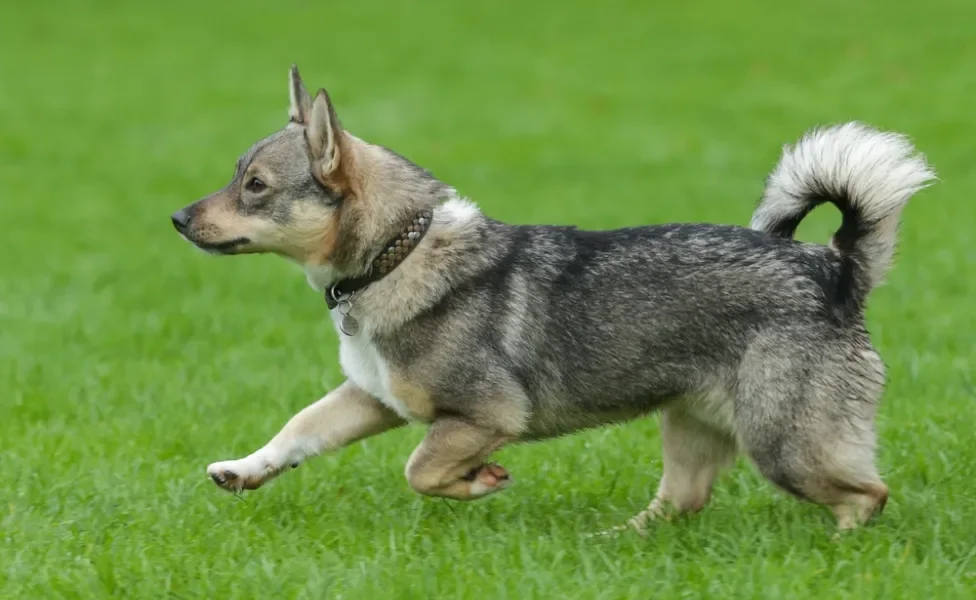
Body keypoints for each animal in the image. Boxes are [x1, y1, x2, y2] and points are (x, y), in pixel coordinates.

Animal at [172, 65, 936, 532]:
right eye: (237, 176)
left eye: (256, 187)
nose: (177, 219)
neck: (400, 254)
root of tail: (835, 269)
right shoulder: (371, 398)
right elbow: (298, 429)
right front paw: (241, 471)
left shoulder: (482, 415)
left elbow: (421, 469)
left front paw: (480, 482)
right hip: (694, 424)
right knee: (680, 502)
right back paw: (617, 542)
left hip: (781, 442)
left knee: (868, 494)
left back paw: (838, 551)